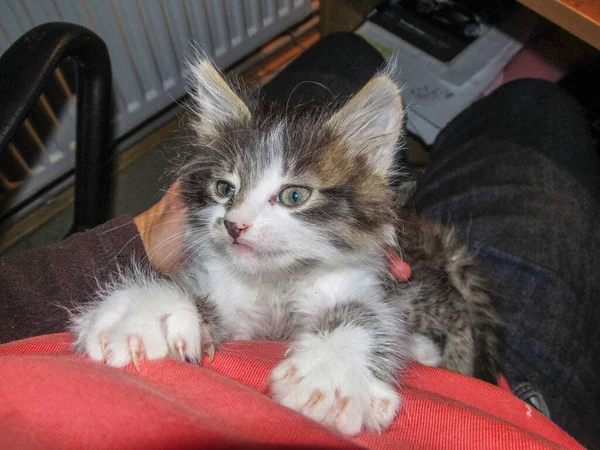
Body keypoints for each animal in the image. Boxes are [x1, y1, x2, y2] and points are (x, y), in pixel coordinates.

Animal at [71, 58, 502, 434]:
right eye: (224, 189)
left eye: (294, 196)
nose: (234, 225)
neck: (278, 281)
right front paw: (143, 316)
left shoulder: (371, 279)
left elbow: (369, 314)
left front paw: (332, 375)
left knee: (457, 311)